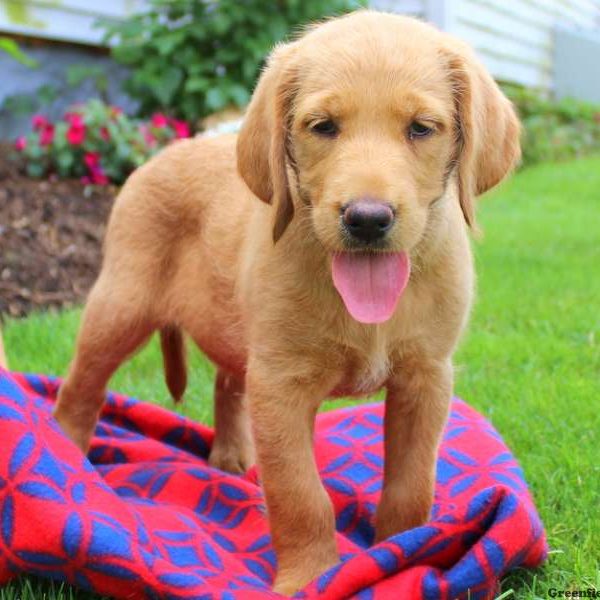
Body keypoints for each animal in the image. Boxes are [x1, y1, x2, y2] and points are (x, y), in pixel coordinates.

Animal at [52, 10, 520, 596]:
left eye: (420, 128)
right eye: (323, 127)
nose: (367, 219)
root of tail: (166, 151)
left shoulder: (427, 377)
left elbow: (411, 484)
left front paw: (406, 554)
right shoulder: (280, 384)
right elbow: (300, 494)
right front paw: (311, 577)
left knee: (227, 382)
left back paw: (231, 457)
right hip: (121, 304)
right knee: (81, 387)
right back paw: (67, 457)